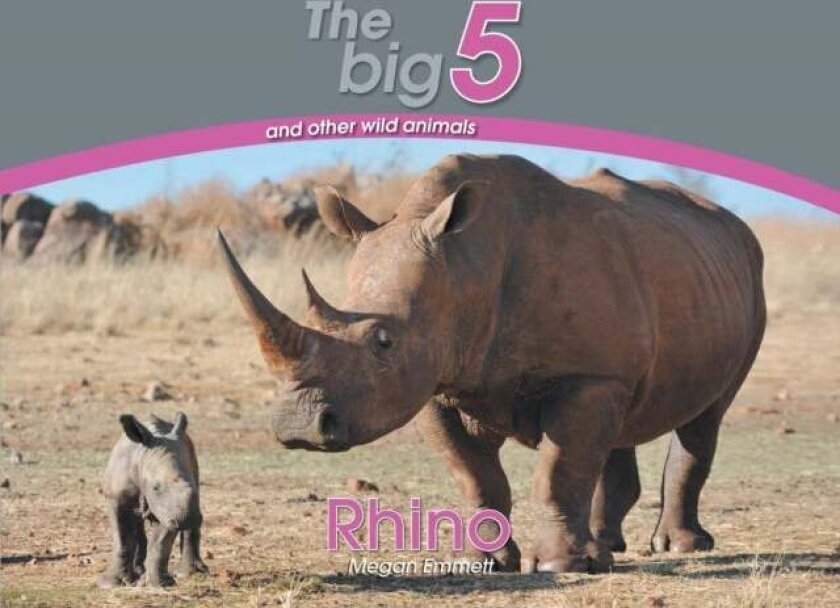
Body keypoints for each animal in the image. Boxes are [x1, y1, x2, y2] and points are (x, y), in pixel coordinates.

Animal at [99, 412, 208, 588]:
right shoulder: (116, 497)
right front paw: (111, 584)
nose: (188, 519)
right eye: (155, 487)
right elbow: (122, 538)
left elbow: (160, 543)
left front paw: (160, 584)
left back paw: (188, 574)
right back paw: (138, 572)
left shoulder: (168, 509)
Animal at [217, 154, 765, 573]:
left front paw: (561, 566)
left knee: (705, 417)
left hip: (747, 282)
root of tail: (731, 223)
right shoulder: (437, 381)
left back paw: (677, 546)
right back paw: (608, 546)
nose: (299, 428)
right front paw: (483, 561)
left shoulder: (585, 375)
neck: (465, 265)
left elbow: (558, 470)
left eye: (383, 342)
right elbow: (475, 474)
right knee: (621, 423)